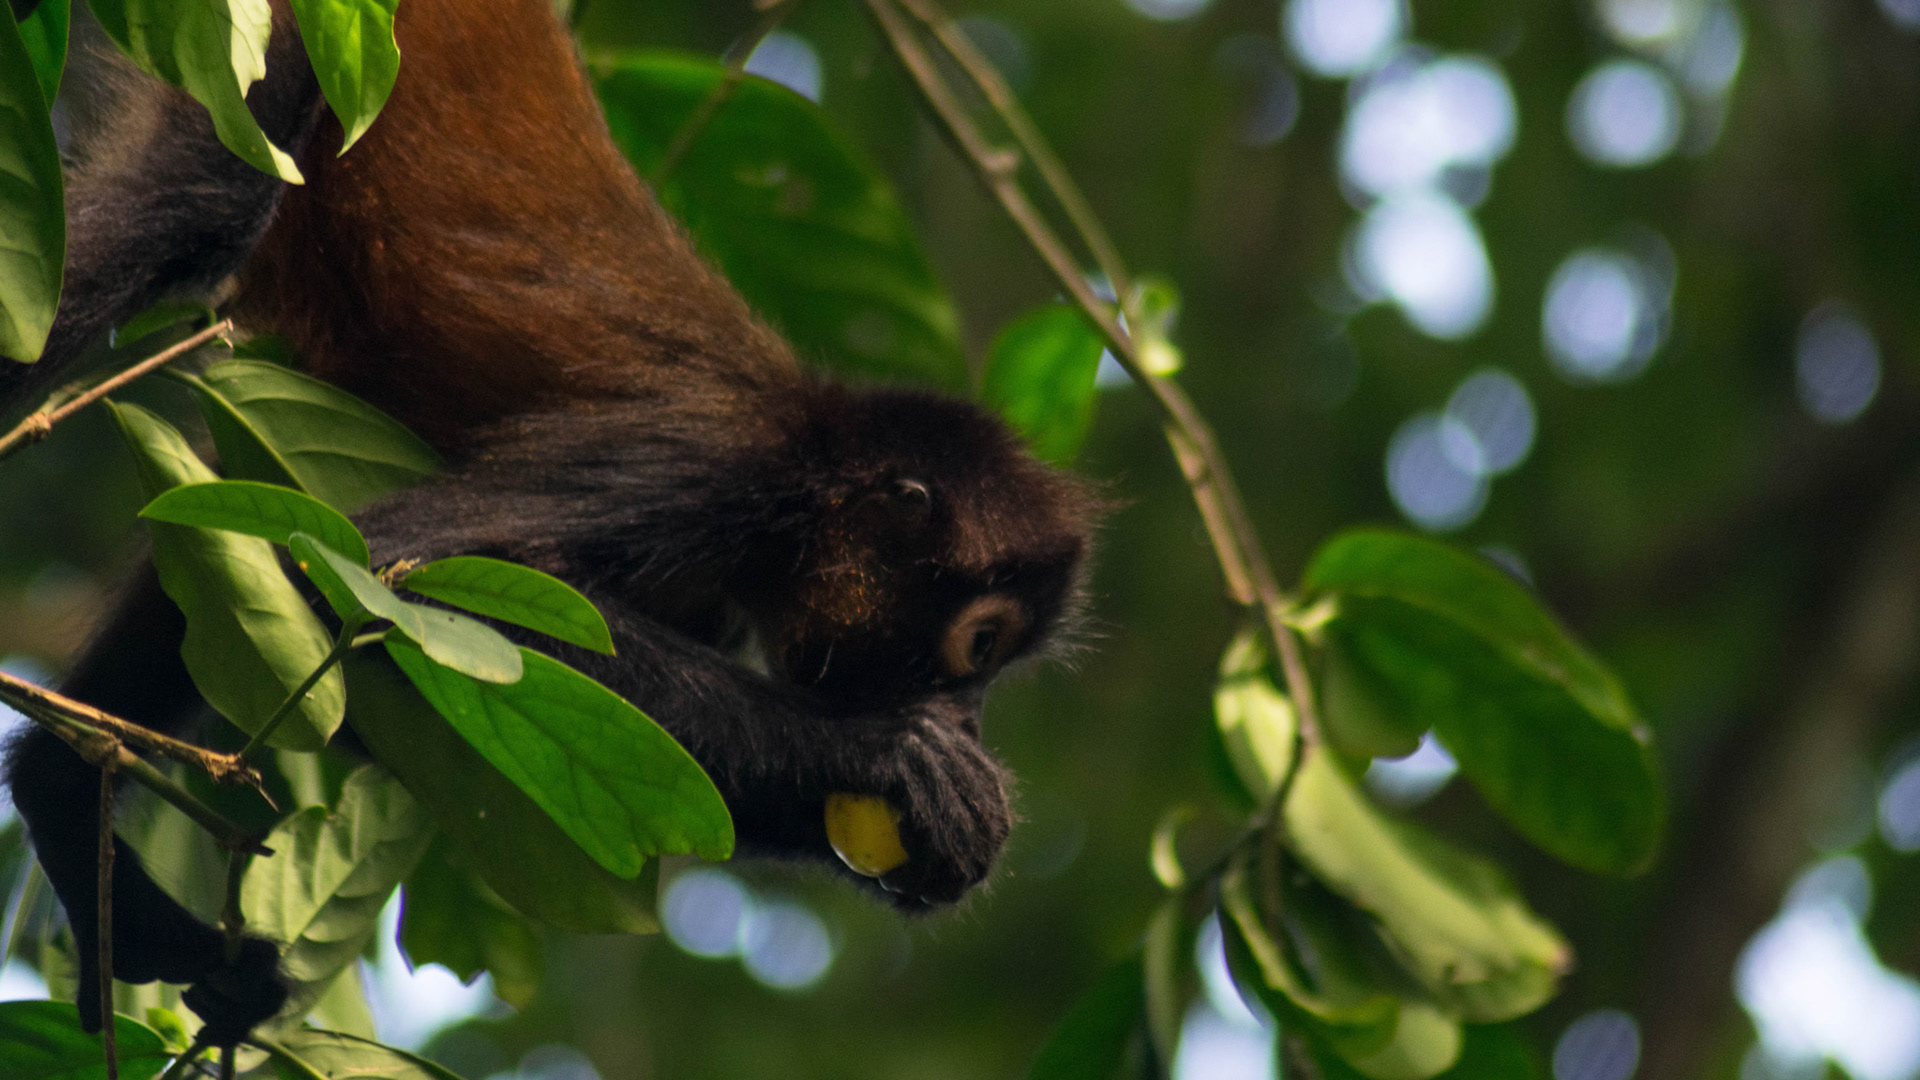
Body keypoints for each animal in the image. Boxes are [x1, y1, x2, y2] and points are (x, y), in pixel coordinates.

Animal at [1, 0, 1097, 1047]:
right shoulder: (699, 466)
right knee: (199, 205)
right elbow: (391, 573)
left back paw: (69, 803)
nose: (970, 718)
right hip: (287, 37)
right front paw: (890, 754)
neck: (809, 455)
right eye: (979, 647)